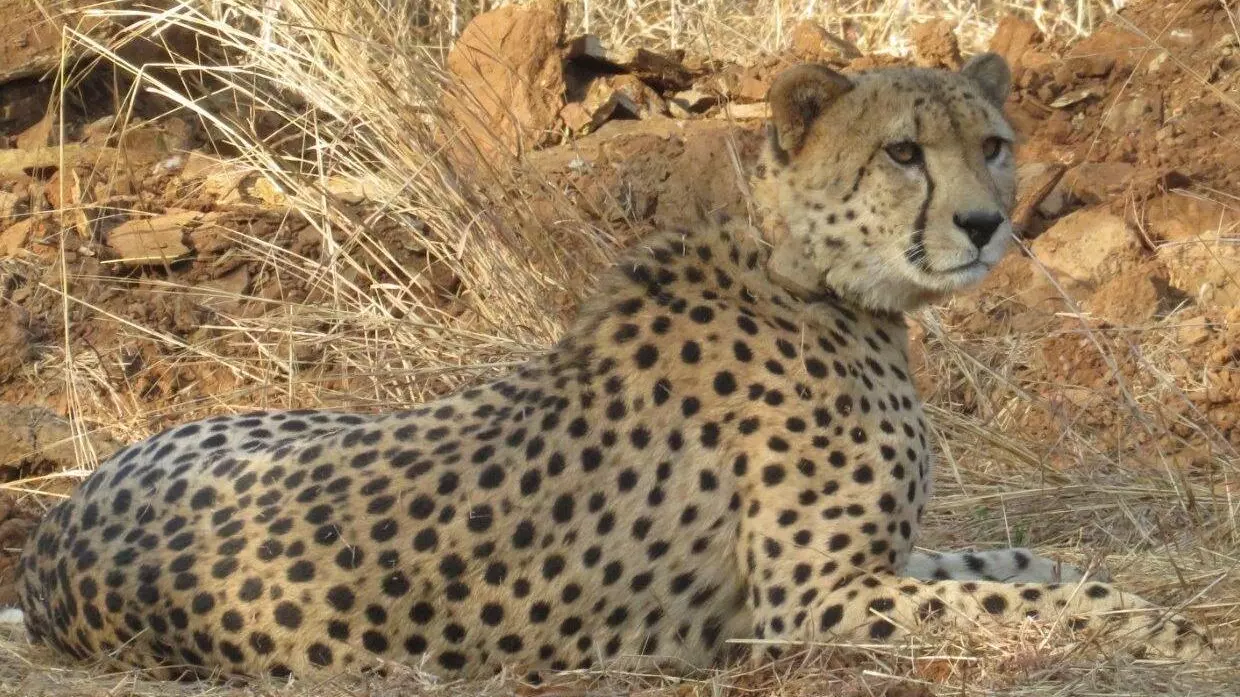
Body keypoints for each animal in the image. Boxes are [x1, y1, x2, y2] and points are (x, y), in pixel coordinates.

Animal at [18, 53, 1212, 682]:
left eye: (993, 144)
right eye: (903, 153)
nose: (982, 224)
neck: (815, 278)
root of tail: (48, 547)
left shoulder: (879, 562)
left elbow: (1020, 563)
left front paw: (1134, 595)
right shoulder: (804, 603)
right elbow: (1013, 600)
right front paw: (1155, 629)